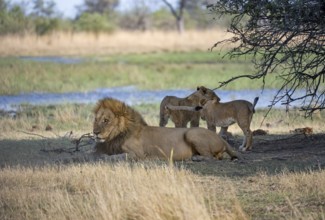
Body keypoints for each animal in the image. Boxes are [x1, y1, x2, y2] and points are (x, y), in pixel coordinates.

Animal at [92, 97, 237, 161]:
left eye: (106, 120)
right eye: (96, 119)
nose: (95, 133)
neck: (117, 135)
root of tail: (222, 140)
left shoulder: (138, 154)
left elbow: (118, 156)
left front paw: (105, 157)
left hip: (192, 133)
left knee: (212, 157)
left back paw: (196, 158)